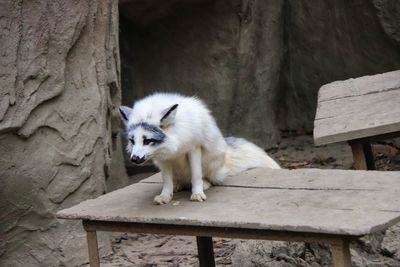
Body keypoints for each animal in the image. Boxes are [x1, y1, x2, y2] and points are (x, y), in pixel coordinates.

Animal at [120, 92, 280, 205]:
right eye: (132, 141)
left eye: (147, 140)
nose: (134, 159)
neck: (176, 142)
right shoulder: (163, 157)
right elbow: (166, 181)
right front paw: (165, 196)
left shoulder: (194, 148)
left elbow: (196, 175)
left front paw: (197, 193)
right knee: (179, 181)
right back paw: (178, 185)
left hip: (212, 163)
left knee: (206, 178)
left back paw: (205, 184)